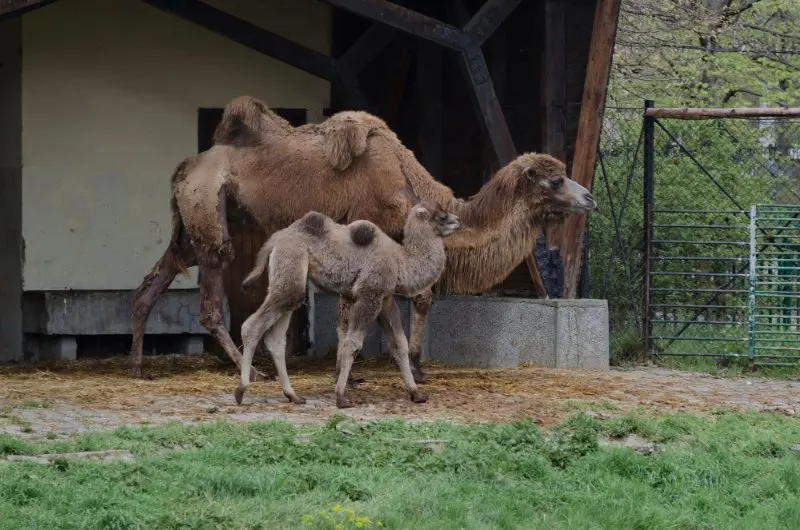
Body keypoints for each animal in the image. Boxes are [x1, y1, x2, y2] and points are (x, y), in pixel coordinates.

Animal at [130, 96, 592, 380]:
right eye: (555, 180)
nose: (588, 197)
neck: (407, 184)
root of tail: (186, 167)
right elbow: (384, 302)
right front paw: (381, 369)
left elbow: (412, 298)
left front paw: (404, 365)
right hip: (209, 217)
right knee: (209, 301)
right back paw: (254, 369)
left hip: (196, 224)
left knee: (154, 280)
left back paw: (137, 366)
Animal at [234, 200, 462, 406]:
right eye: (442, 217)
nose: (459, 221)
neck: (401, 261)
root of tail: (274, 241)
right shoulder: (369, 295)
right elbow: (352, 343)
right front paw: (341, 396)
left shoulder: (386, 300)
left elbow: (399, 344)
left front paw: (416, 393)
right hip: (291, 263)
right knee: (251, 326)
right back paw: (241, 390)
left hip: (290, 280)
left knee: (277, 337)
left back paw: (293, 396)